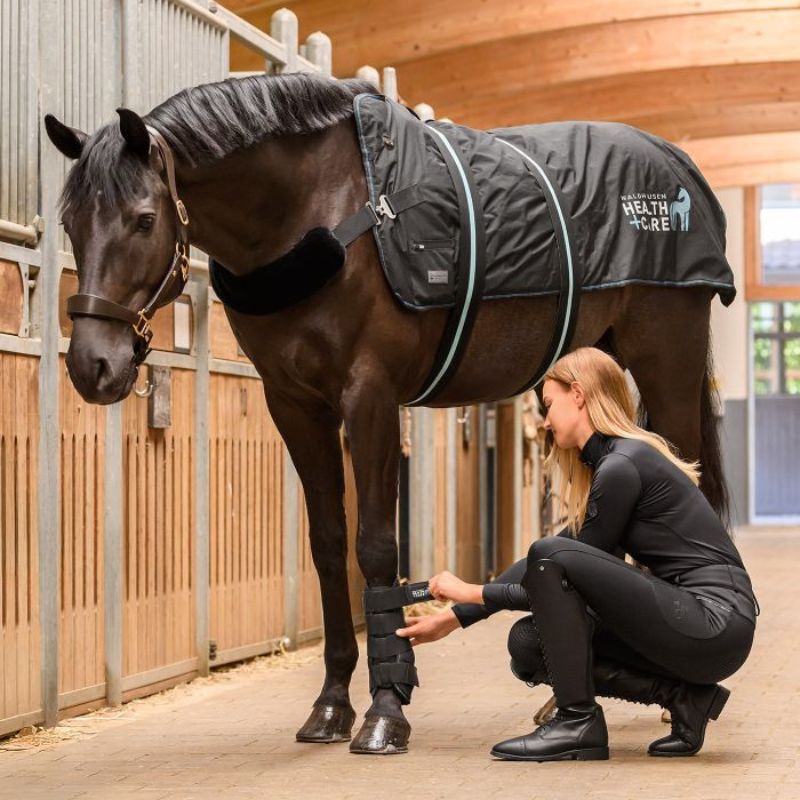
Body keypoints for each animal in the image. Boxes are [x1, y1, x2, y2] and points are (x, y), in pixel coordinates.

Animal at [45, 72, 732, 755]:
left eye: (143, 219)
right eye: (71, 222)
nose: (91, 365)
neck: (320, 213)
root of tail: (676, 166)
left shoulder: (369, 396)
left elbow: (375, 546)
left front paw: (385, 711)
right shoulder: (295, 404)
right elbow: (328, 544)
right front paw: (330, 706)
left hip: (664, 363)